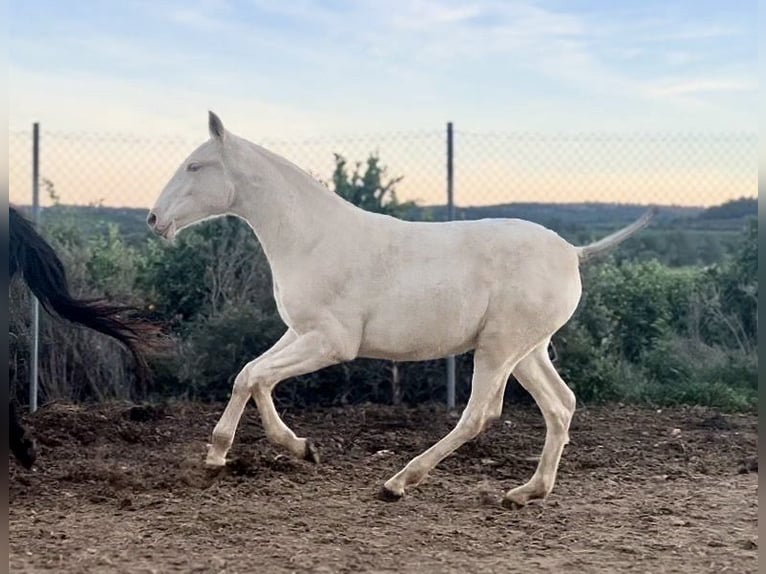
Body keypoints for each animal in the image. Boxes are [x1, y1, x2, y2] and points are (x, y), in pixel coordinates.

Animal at [150, 113, 660, 508]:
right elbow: (248, 376)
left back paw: (398, 483)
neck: (313, 237)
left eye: (195, 165)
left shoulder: (332, 343)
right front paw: (241, 453)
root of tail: (574, 252)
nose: (154, 220)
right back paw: (525, 492)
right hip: (527, 352)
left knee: (480, 415)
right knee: (560, 405)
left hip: (499, 349)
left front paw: (283, 449)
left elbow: (257, 377)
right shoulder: (300, 332)